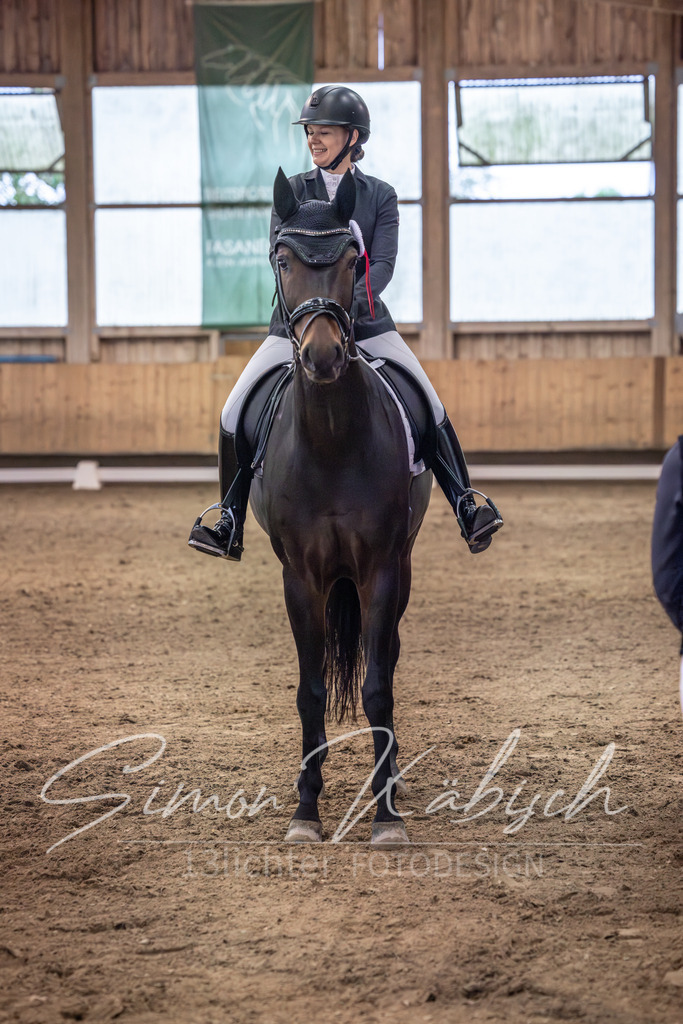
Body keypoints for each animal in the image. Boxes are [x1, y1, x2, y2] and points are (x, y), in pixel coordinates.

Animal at [249, 168, 432, 846]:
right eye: (282, 259)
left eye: (354, 261)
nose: (323, 356)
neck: (330, 437)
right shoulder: (300, 576)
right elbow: (310, 689)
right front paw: (306, 809)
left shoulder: (379, 567)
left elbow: (378, 686)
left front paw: (386, 815)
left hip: (401, 566)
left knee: (391, 657)